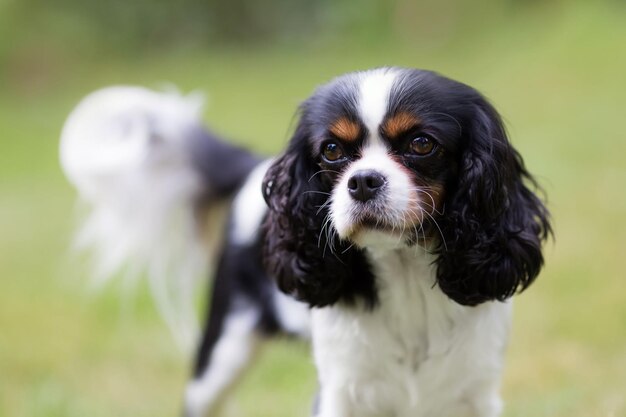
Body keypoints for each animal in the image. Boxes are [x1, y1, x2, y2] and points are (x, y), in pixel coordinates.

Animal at [62, 66, 552, 414]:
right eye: (332, 150)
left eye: (421, 143)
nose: (363, 181)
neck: (405, 272)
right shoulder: (342, 394)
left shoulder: (475, 394)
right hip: (218, 358)